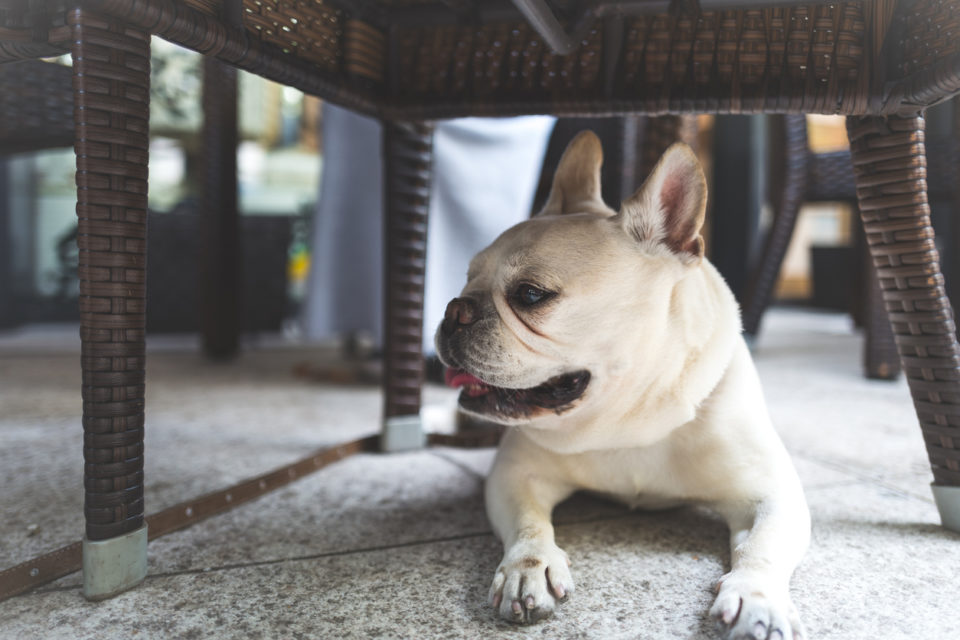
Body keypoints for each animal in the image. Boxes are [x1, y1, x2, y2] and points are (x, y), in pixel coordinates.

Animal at [436, 131, 808, 640]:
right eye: (466, 277)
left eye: (530, 295)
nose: (454, 308)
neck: (628, 420)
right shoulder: (516, 474)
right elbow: (529, 525)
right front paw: (529, 568)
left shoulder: (770, 493)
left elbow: (763, 547)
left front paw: (758, 597)